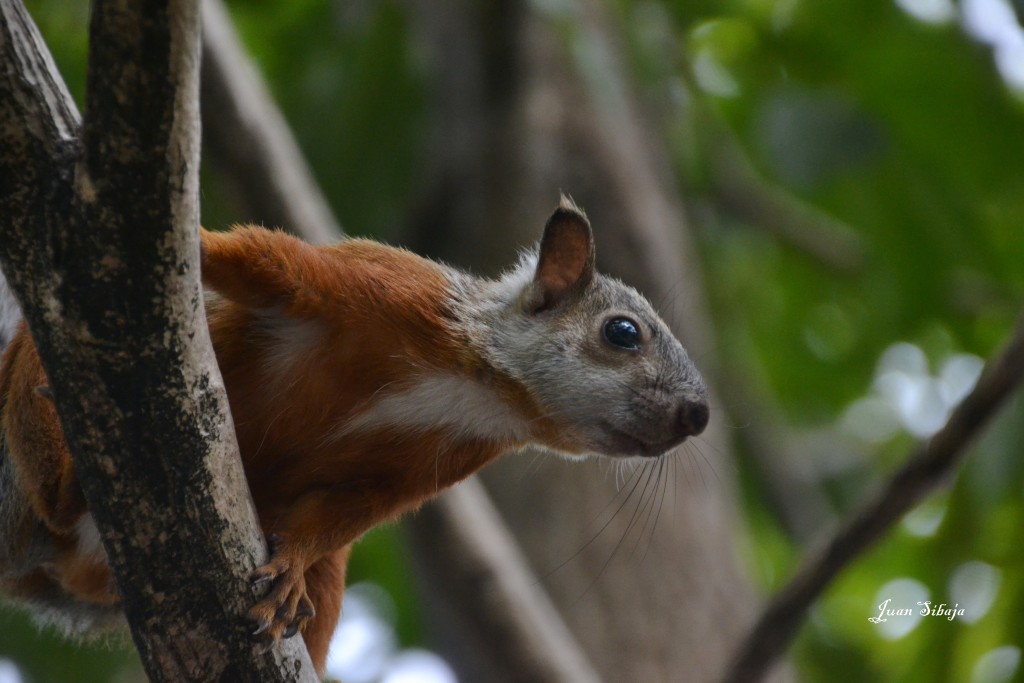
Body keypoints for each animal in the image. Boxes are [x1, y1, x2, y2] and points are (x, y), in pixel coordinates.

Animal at [0, 197, 709, 674]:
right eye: (623, 332)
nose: (698, 417)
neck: (474, 386)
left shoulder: (420, 466)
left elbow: (347, 513)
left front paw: (289, 564)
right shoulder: (380, 284)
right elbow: (266, 260)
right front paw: (192, 245)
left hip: (324, 580)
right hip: (25, 401)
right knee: (47, 468)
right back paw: (67, 479)